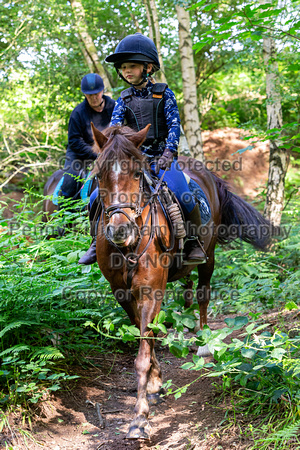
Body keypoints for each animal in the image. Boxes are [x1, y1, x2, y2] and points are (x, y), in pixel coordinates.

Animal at [90, 123, 270, 440]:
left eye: (137, 174)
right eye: (99, 174)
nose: (120, 230)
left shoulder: (151, 291)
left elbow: (143, 353)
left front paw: (139, 420)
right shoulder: (121, 292)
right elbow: (145, 337)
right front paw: (155, 384)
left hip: (209, 255)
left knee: (202, 294)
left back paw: (204, 341)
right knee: (186, 292)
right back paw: (185, 332)